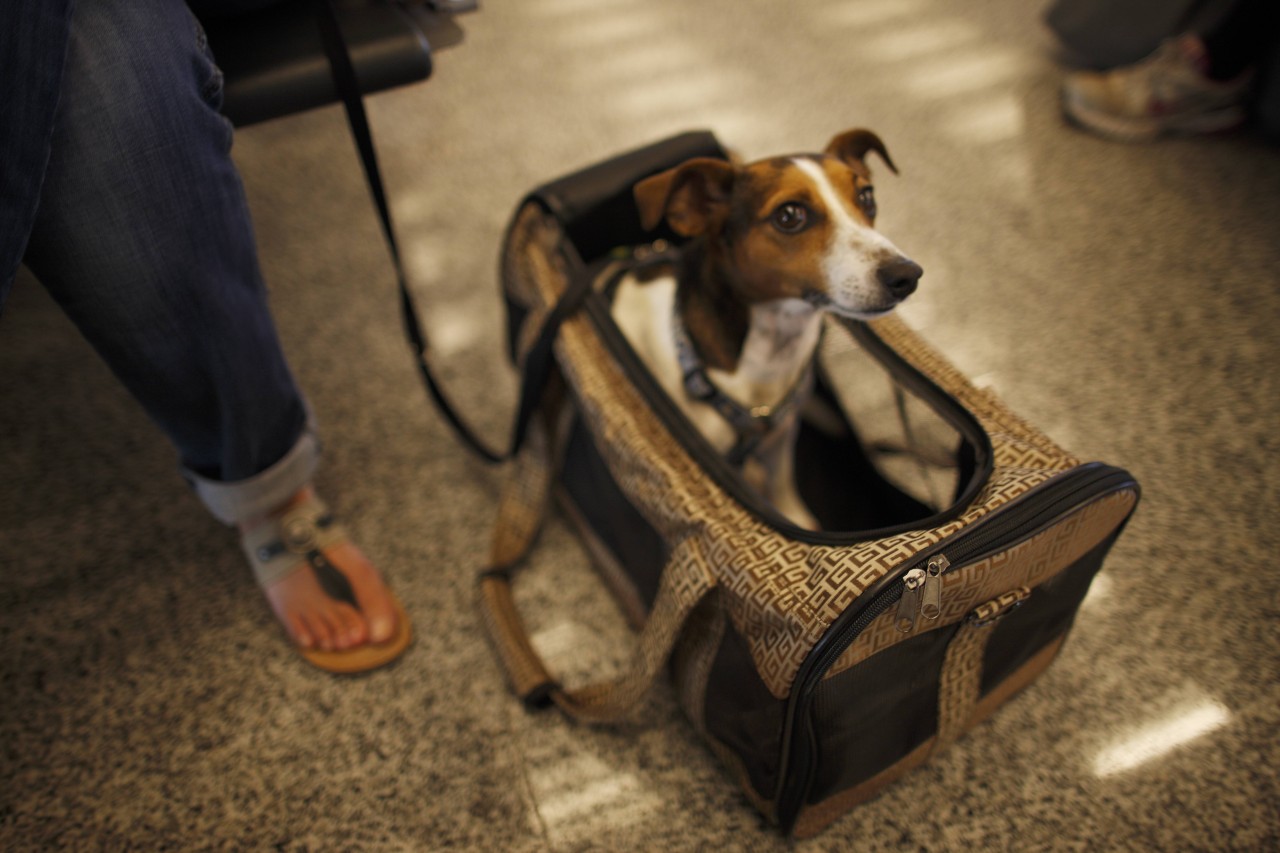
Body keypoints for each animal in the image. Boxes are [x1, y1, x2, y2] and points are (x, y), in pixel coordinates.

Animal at [609, 128, 921, 525]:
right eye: (789, 215)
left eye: (867, 197)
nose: (907, 276)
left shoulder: (781, 438)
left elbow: (781, 485)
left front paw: (796, 518)